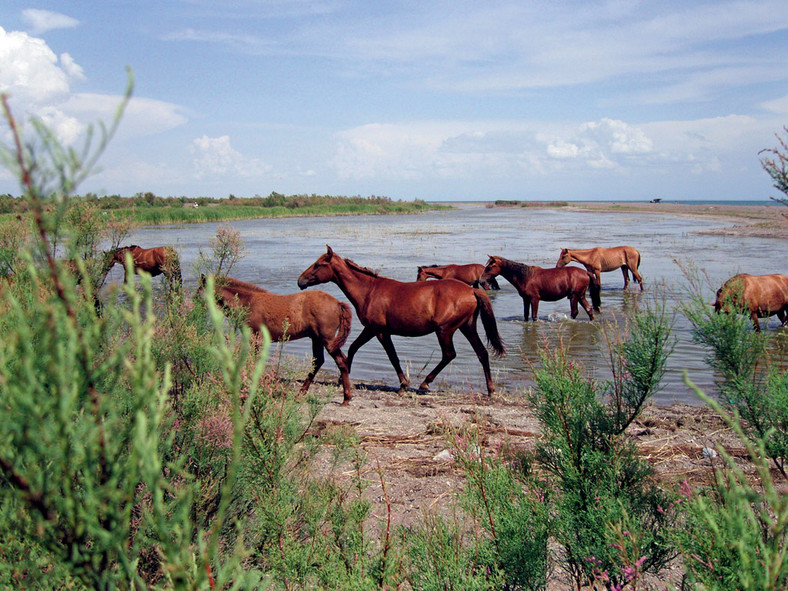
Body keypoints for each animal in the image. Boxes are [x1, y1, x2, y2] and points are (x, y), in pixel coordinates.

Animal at [200, 276, 354, 404]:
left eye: (199, 289)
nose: (195, 304)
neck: (248, 302)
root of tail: (338, 303)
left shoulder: (256, 338)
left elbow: (255, 361)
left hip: (326, 339)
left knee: (341, 362)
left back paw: (346, 399)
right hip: (316, 339)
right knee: (318, 362)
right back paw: (300, 394)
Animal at [296, 245, 504, 398]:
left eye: (318, 264)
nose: (300, 281)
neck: (369, 291)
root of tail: (472, 290)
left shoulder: (381, 332)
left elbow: (392, 357)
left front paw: (403, 385)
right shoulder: (370, 329)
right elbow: (353, 348)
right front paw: (341, 379)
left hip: (445, 330)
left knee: (449, 354)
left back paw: (424, 384)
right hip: (467, 327)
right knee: (482, 353)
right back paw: (490, 389)